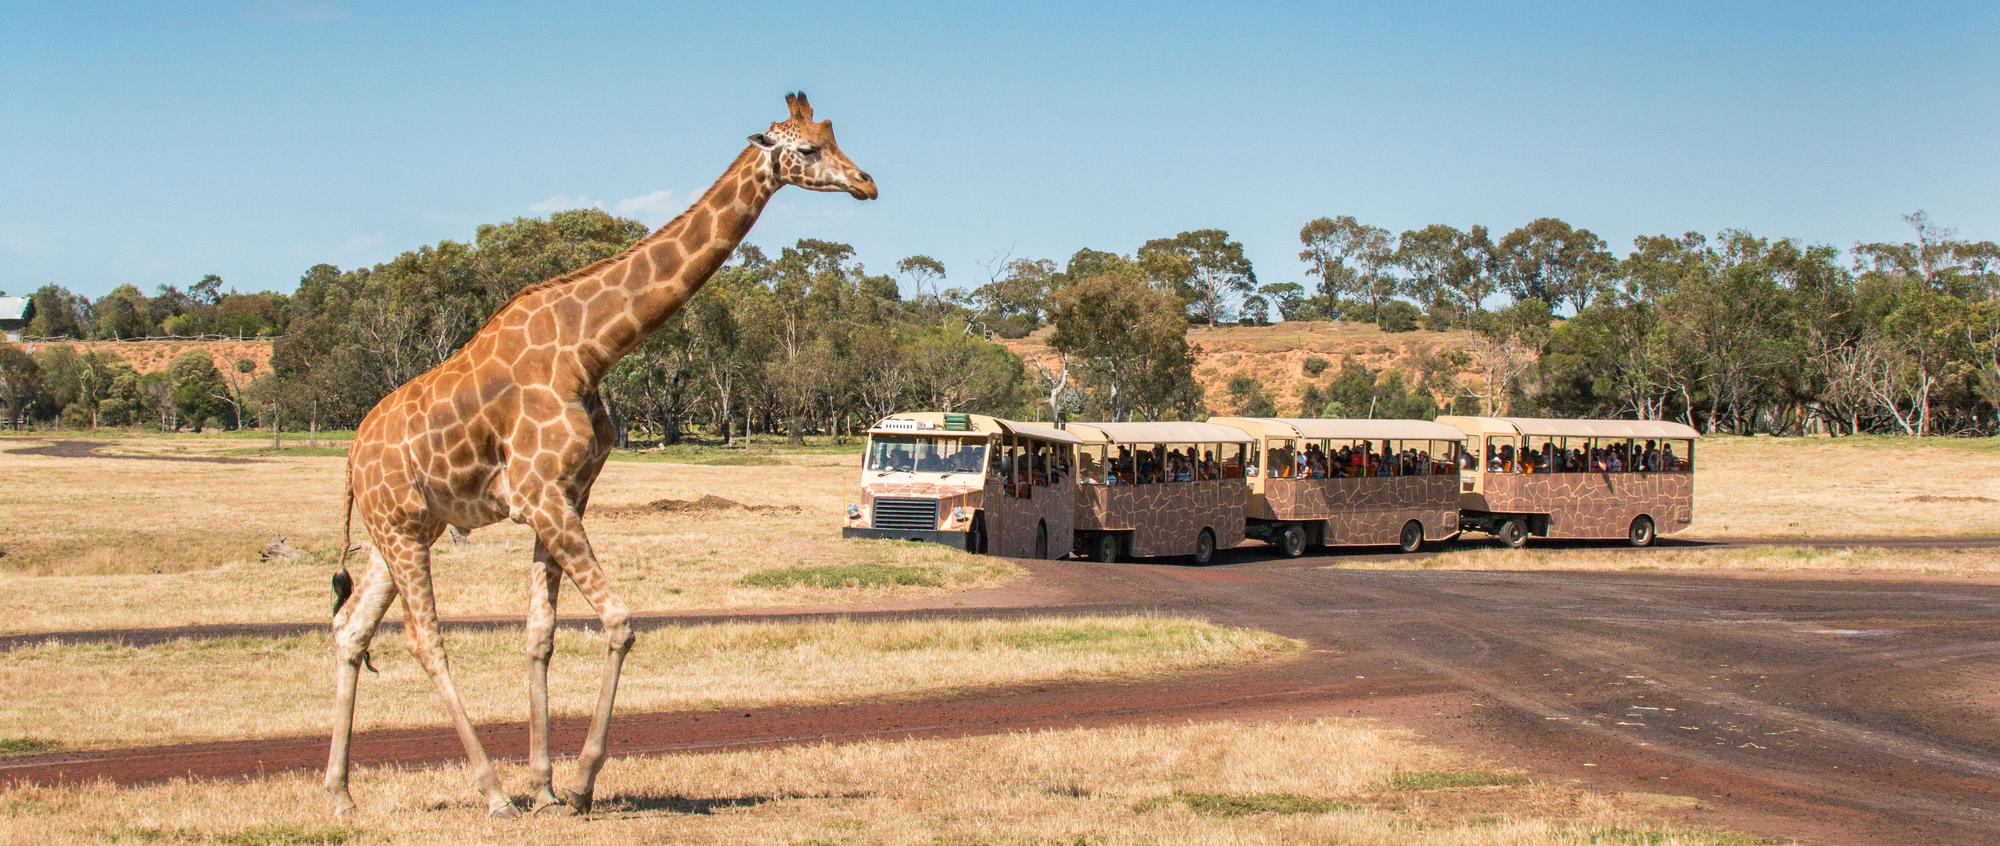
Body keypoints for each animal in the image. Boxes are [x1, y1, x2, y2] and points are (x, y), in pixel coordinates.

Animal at [326, 94, 876, 820]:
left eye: (834, 135)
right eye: (807, 149)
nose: (867, 183)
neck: (589, 349)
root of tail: (352, 458)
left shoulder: (564, 497)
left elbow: (540, 636)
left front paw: (548, 786)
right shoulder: (541, 495)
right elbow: (618, 622)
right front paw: (581, 781)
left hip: (409, 528)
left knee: (351, 630)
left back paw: (339, 794)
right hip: (400, 528)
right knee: (424, 639)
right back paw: (491, 793)